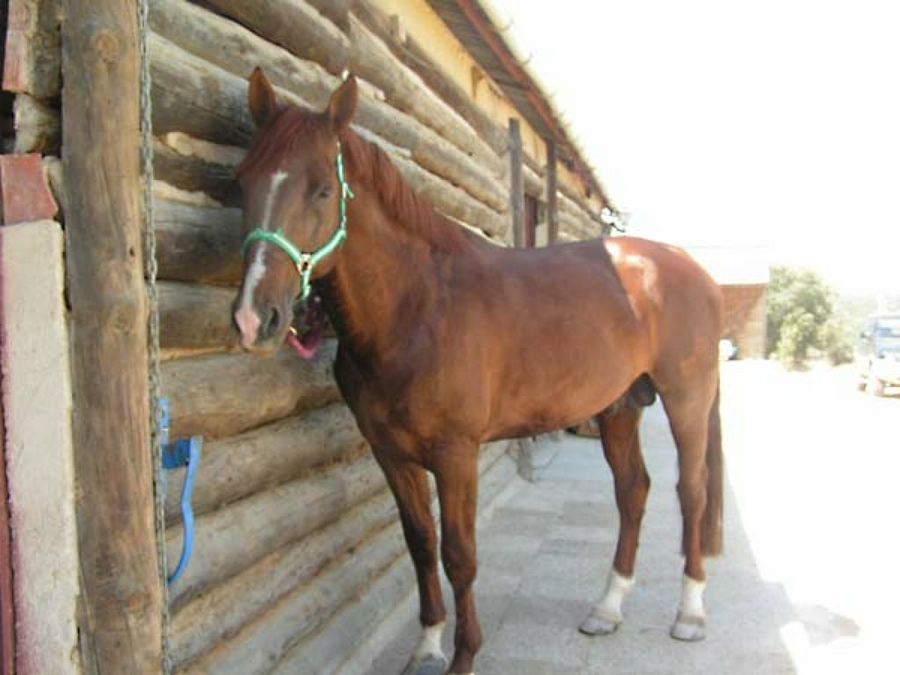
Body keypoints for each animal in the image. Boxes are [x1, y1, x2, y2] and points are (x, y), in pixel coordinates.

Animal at [232, 69, 724, 675]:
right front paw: (426, 646)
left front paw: (463, 655)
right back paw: (607, 609)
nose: (255, 318)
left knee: (692, 492)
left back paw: (690, 614)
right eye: (242, 182)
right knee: (633, 491)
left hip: (687, 401)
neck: (417, 308)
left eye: (322, 189)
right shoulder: (391, 453)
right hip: (619, 407)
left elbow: (459, 555)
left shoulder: (456, 454)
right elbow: (421, 545)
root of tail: (692, 268)